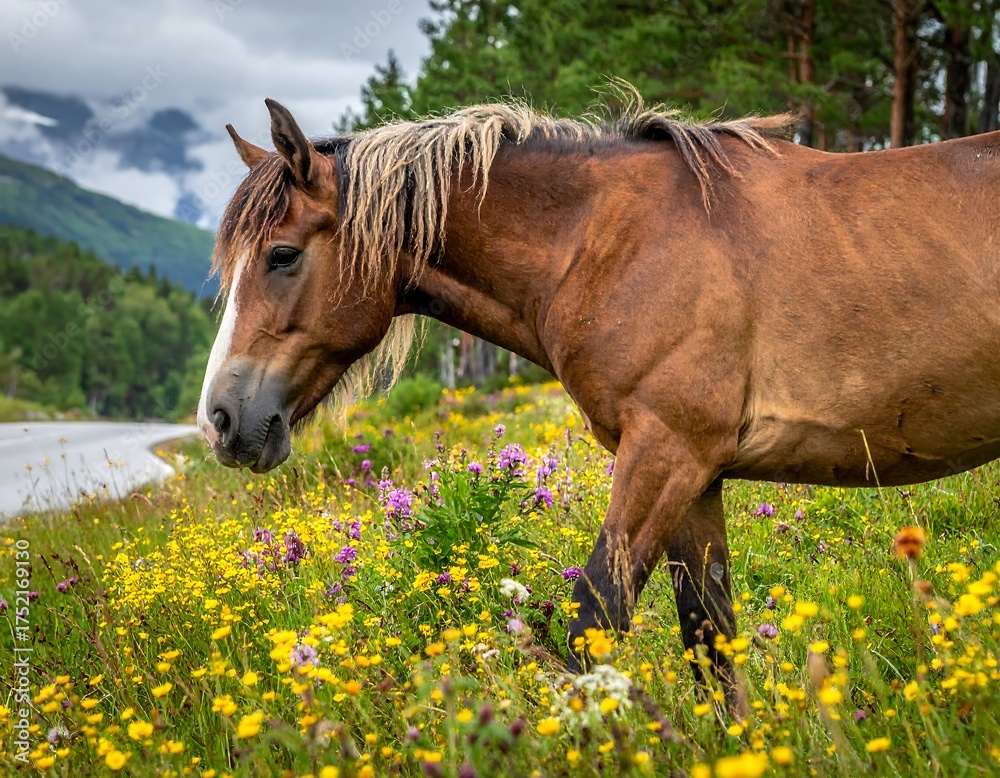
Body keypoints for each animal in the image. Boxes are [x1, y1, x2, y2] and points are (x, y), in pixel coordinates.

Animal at [198, 88, 1000, 712]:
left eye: (281, 256)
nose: (221, 420)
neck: (609, 242)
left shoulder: (666, 453)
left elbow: (595, 622)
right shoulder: (698, 478)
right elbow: (709, 639)